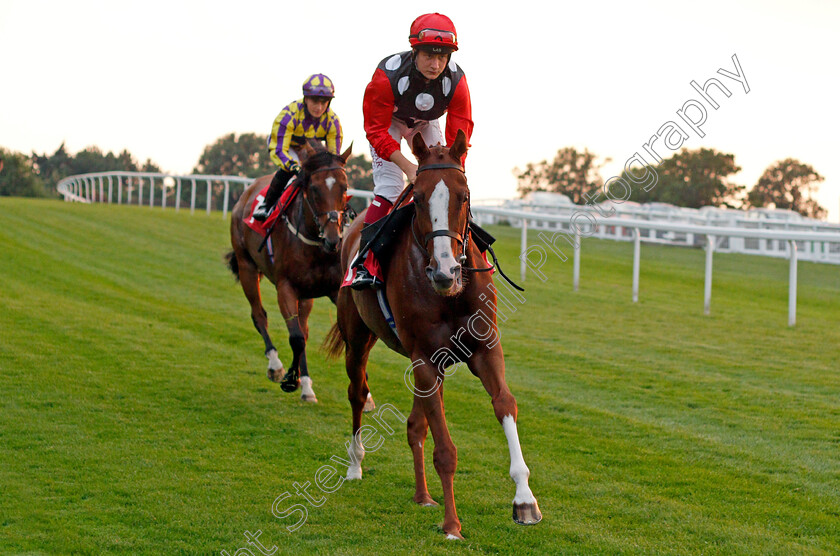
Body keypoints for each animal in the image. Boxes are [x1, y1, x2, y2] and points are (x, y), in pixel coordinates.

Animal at [230, 139, 374, 408]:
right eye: (314, 189)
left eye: (344, 187)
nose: (333, 239)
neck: (316, 244)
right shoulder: (286, 287)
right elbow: (295, 337)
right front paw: (289, 378)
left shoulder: (334, 290)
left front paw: (366, 393)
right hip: (247, 267)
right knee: (259, 315)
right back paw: (276, 366)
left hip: (305, 295)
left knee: (303, 329)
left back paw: (307, 386)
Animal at [324, 130, 540, 540]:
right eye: (420, 197)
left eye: (465, 195)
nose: (445, 271)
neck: (448, 294)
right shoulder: (423, 356)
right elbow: (445, 449)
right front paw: (453, 524)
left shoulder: (484, 348)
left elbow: (504, 403)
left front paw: (525, 500)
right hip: (359, 337)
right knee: (358, 394)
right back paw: (355, 464)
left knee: (415, 425)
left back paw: (423, 495)